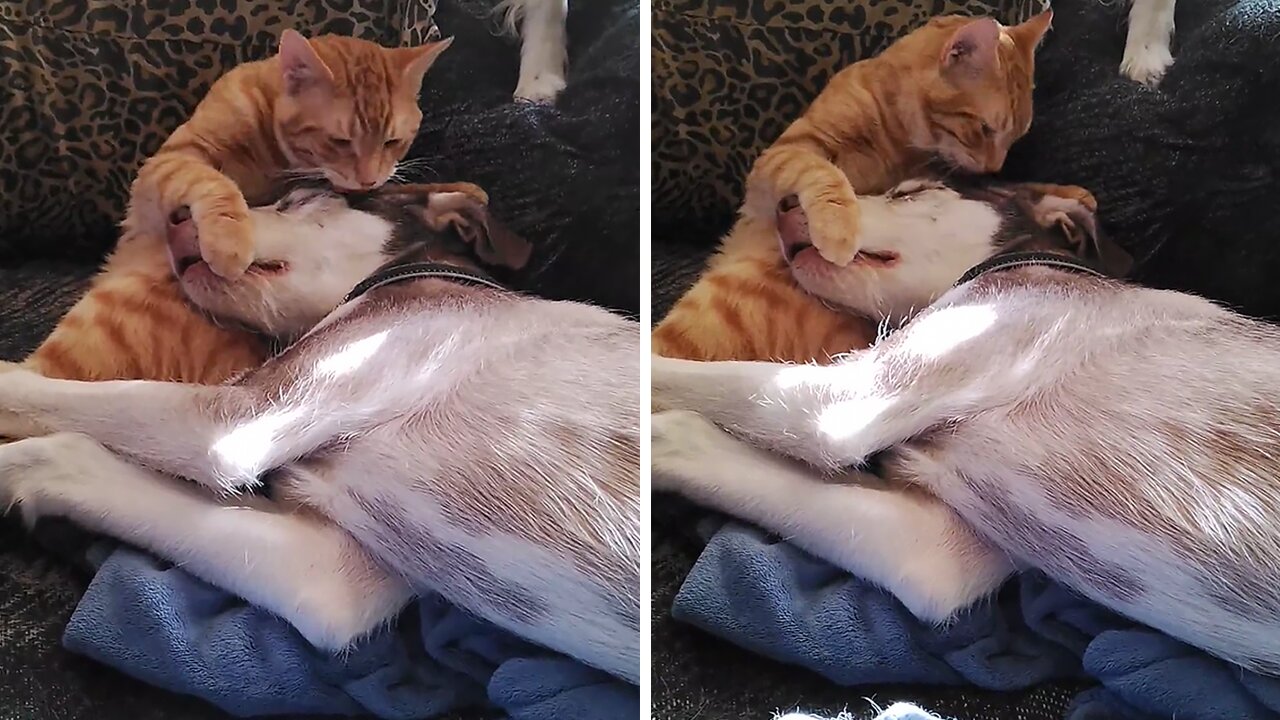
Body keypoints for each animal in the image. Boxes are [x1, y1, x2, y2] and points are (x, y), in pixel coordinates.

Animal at [21, 30, 450, 384]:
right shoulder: (174, 159)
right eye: (340, 141)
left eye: (392, 141)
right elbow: (213, 182)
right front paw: (228, 239)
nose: (369, 181)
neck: (271, 144)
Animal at [655, 14, 1054, 363]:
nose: (994, 170)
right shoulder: (791, 150)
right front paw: (837, 227)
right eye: (985, 129)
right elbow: (822, 172)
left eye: (1014, 137)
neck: (895, 128)